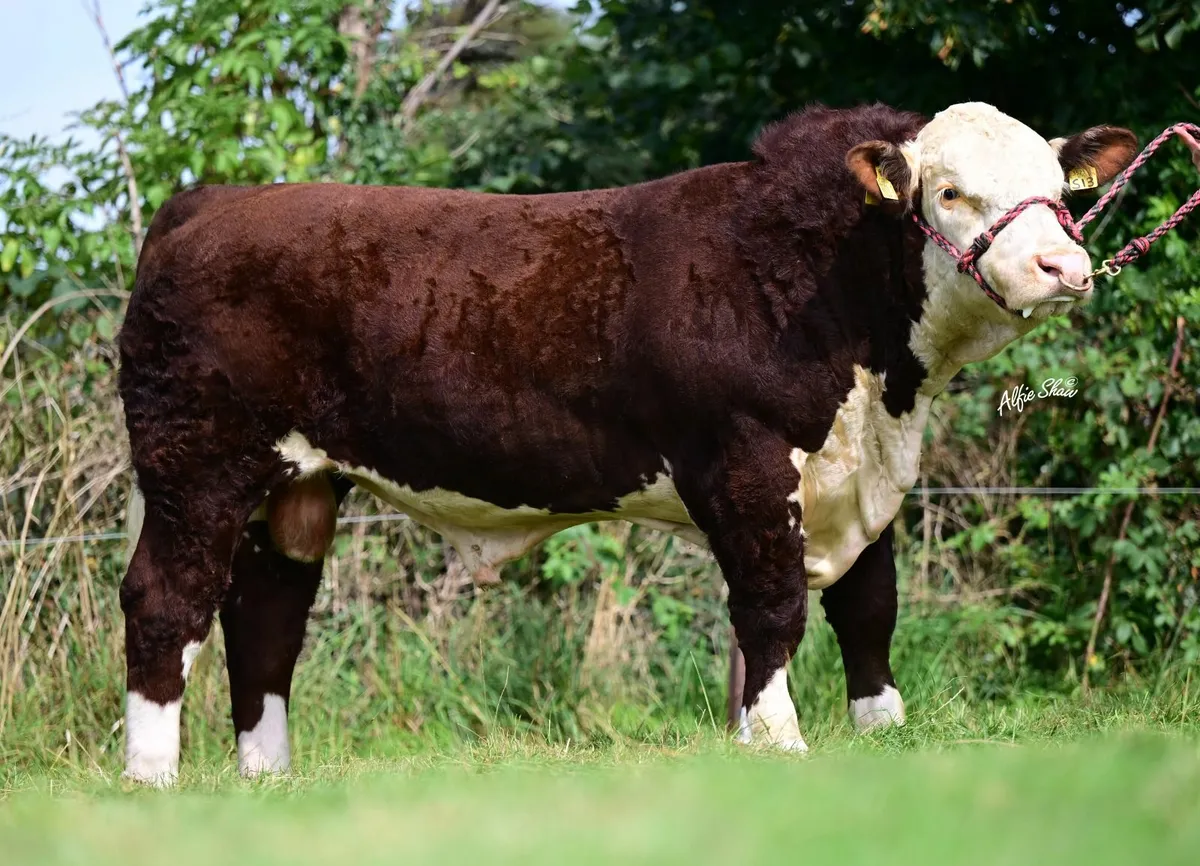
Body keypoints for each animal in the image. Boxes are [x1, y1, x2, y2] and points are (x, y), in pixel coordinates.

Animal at [116, 102, 1137, 784]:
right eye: (953, 191)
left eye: (1057, 191)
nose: (1064, 266)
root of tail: (208, 204)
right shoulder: (745, 463)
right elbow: (771, 610)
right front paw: (779, 742)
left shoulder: (864, 476)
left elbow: (869, 609)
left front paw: (883, 734)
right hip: (196, 465)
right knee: (165, 601)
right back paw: (153, 778)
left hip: (295, 487)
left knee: (265, 617)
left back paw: (268, 779)